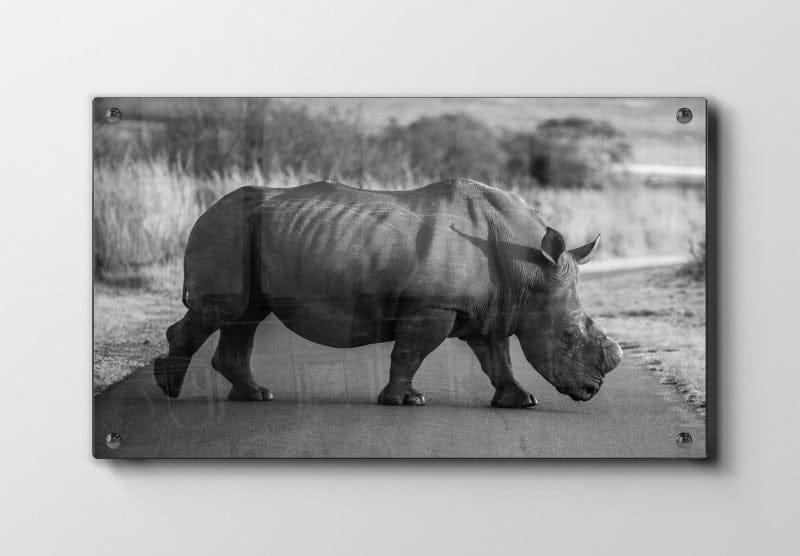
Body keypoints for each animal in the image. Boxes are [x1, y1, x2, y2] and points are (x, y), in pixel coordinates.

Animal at [154, 178, 622, 407]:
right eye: (568, 336)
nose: (593, 390)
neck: (528, 268)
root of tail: (205, 209)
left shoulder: (490, 308)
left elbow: (497, 356)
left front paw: (520, 402)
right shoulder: (434, 305)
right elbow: (411, 352)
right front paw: (405, 401)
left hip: (242, 230)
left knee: (246, 315)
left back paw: (256, 396)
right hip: (227, 228)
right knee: (228, 311)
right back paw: (170, 390)